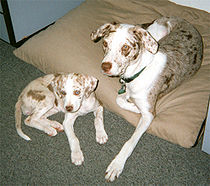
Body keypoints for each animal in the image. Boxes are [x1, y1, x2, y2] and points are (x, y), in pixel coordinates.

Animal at [91, 16, 203, 181]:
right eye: (105, 44)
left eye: (125, 47)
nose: (105, 66)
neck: (138, 71)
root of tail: (173, 17)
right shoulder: (127, 93)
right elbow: (119, 100)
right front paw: (133, 105)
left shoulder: (149, 114)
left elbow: (130, 142)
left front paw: (117, 165)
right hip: (155, 34)